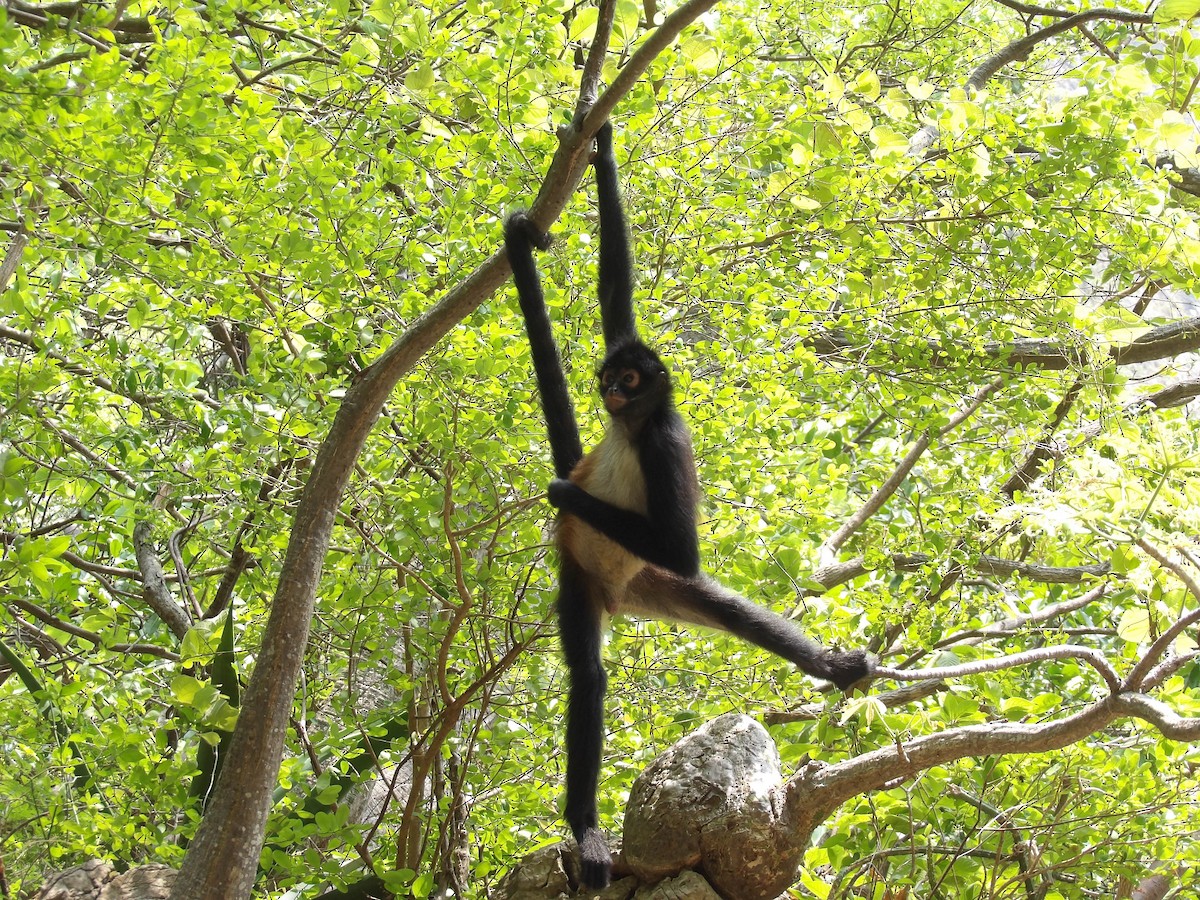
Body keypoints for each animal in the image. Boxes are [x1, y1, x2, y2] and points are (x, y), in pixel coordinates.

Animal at [504, 122, 875, 889]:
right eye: (610, 374)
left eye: (630, 379)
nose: (609, 388)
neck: (633, 428)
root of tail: (619, 595)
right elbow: (614, 290)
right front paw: (601, 147)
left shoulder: (664, 448)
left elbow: (682, 547)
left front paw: (566, 491)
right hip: (598, 579)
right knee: (636, 652)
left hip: (639, 578)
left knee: (641, 648)